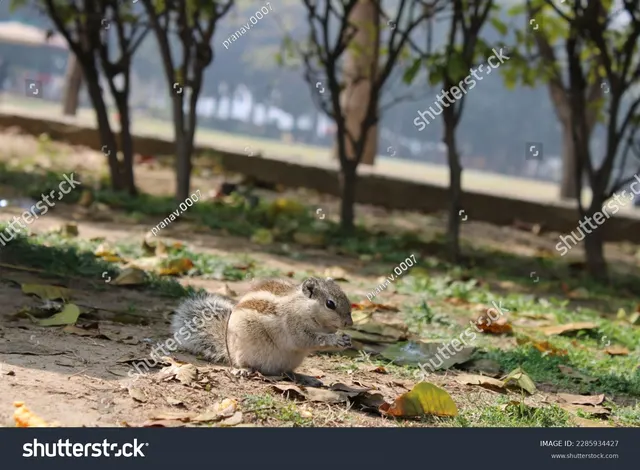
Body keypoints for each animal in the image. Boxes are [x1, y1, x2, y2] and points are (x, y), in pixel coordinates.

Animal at [170, 277, 353, 376]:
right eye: (330, 304)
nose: (349, 323)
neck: (303, 306)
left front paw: (346, 340)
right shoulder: (294, 326)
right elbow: (308, 340)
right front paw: (336, 340)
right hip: (243, 351)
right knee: (241, 363)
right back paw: (244, 370)